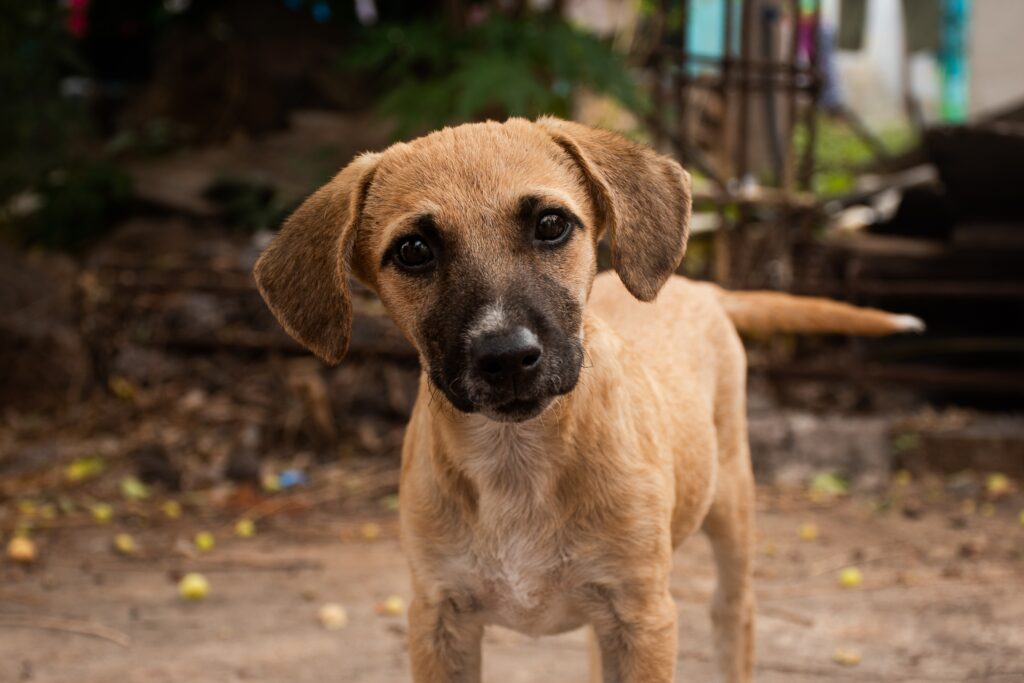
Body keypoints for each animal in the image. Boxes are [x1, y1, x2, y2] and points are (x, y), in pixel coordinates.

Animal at [253, 114, 921, 679]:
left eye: (551, 225)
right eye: (413, 251)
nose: (506, 357)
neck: (517, 459)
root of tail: (702, 286)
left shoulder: (645, 617)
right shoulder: (438, 619)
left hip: (731, 507)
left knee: (735, 616)